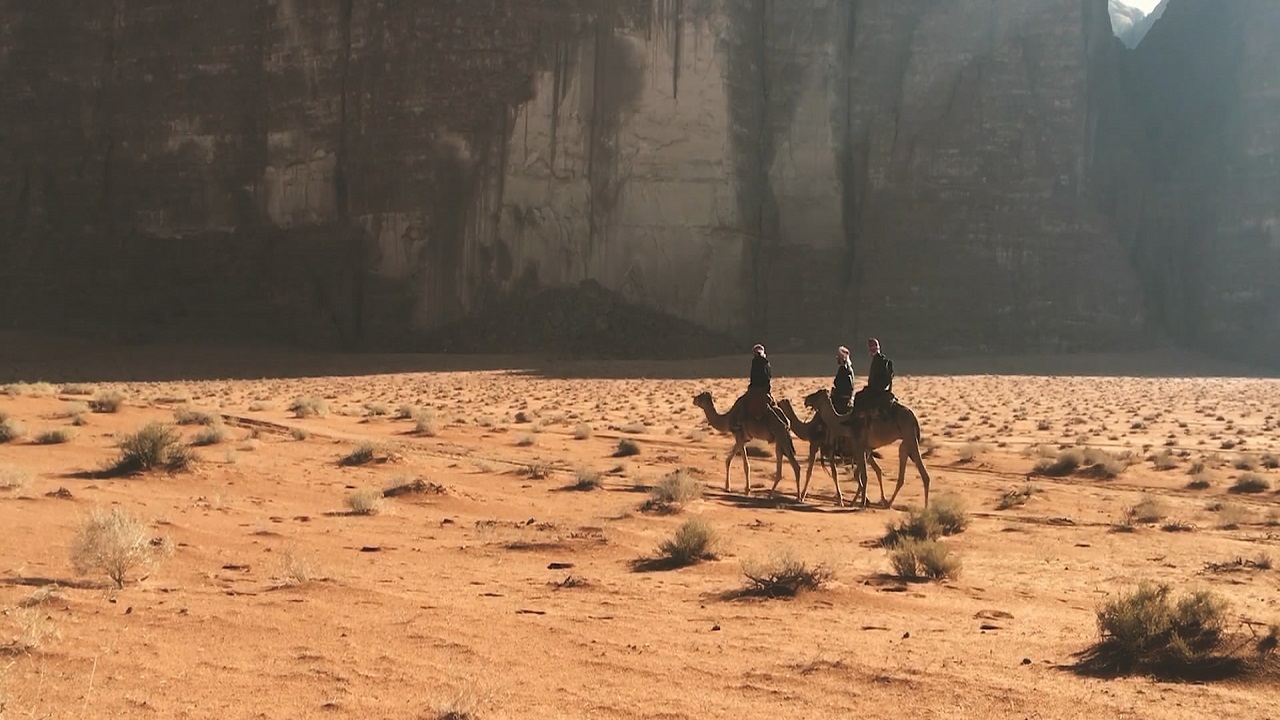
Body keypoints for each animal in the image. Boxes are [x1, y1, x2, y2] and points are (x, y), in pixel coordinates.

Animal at [798, 386, 931, 509]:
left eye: (817, 395)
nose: (806, 400)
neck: (845, 422)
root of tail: (913, 417)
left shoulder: (860, 445)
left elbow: (864, 476)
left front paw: (862, 504)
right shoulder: (865, 448)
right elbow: (861, 475)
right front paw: (858, 502)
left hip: (909, 435)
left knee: (924, 474)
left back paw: (924, 508)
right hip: (906, 441)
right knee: (903, 465)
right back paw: (888, 503)